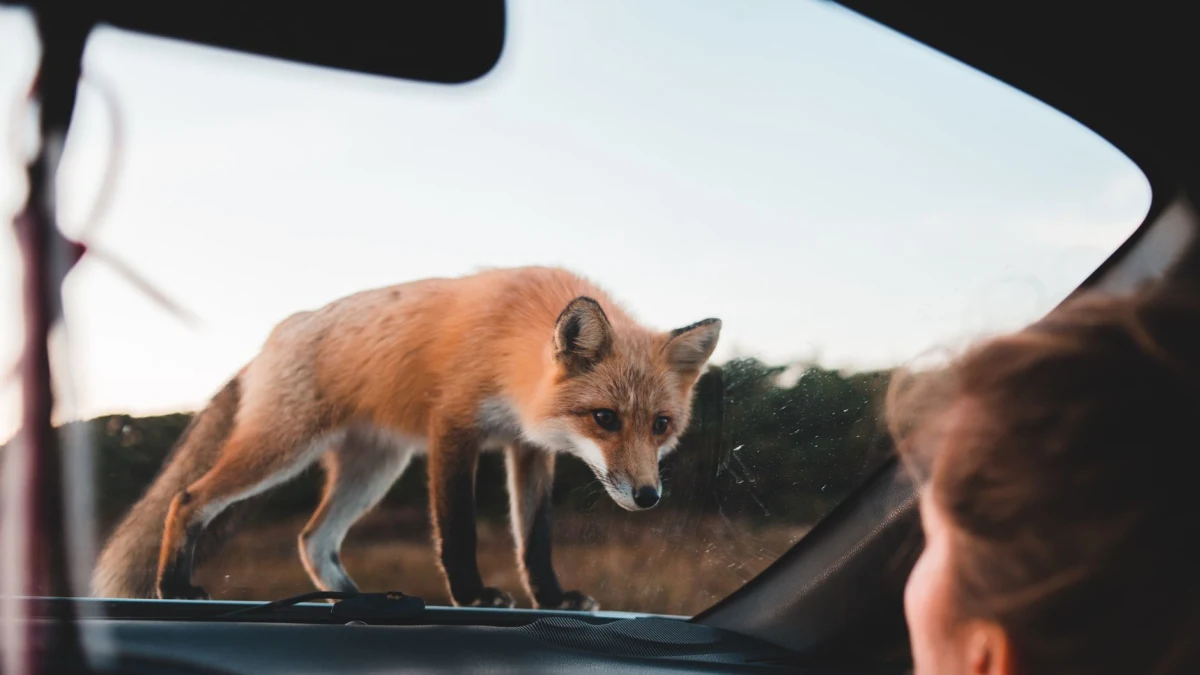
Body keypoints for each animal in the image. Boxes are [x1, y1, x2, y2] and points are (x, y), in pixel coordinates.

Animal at [92, 266, 721, 610]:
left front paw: (551, 598)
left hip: (374, 469)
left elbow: (534, 541)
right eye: (605, 419)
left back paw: (349, 601)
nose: (648, 497)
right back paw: (173, 586)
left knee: (313, 539)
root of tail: (278, 334)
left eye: (660, 425)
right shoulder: (454, 428)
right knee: (187, 498)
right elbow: (458, 530)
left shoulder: (527, 447)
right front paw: (473, 595)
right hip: (284, 449)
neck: (511, 344)